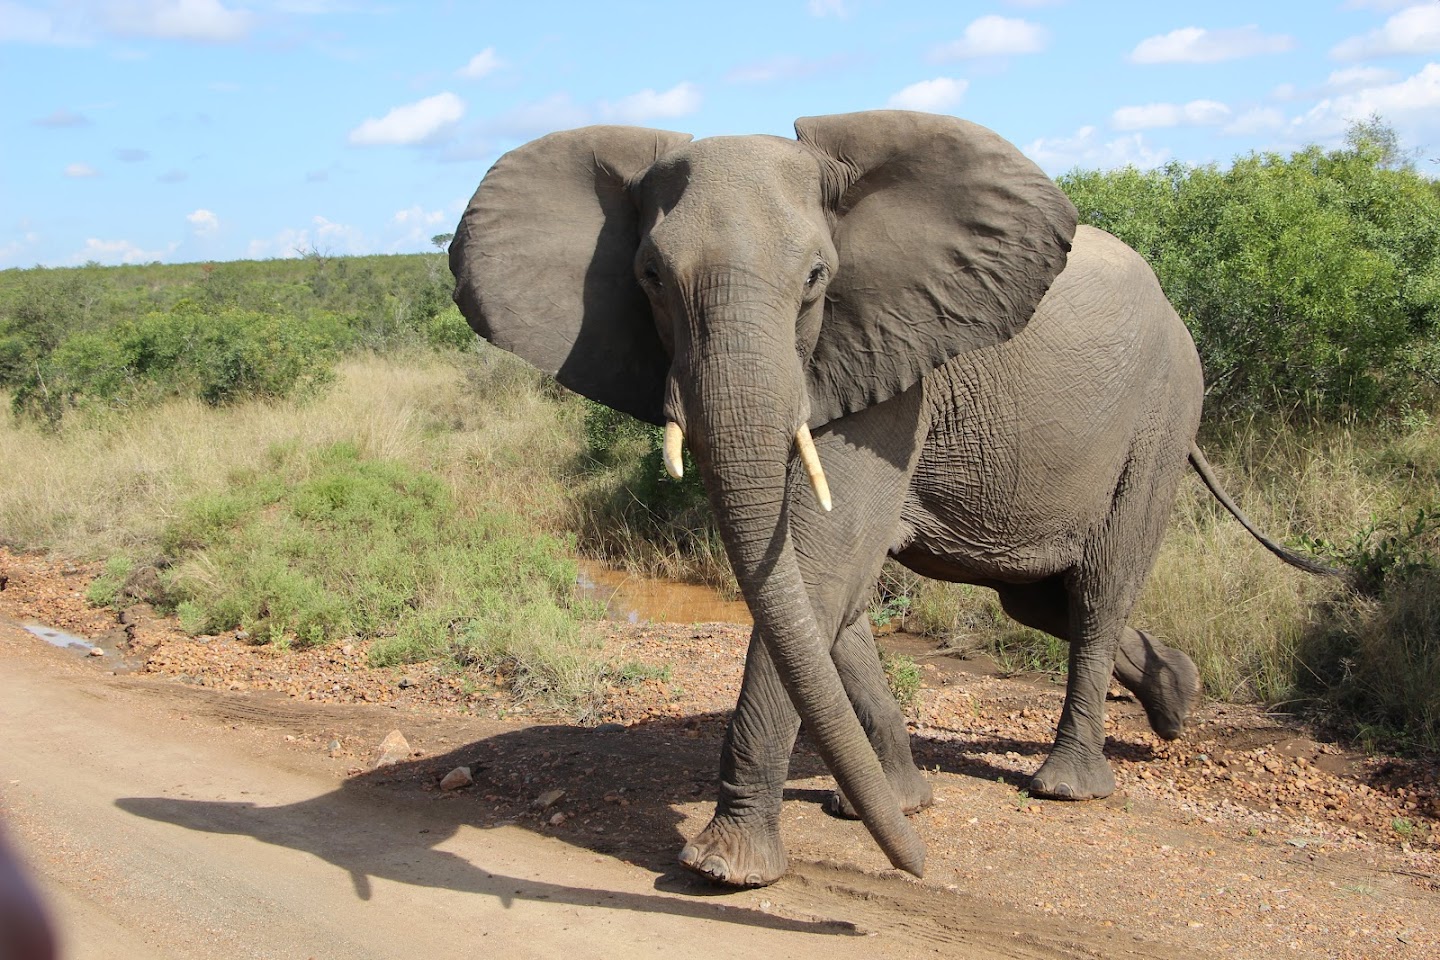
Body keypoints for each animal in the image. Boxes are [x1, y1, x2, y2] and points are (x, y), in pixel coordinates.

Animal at [452, 110, 1336, 886]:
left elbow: (818, 568)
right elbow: (821, 598)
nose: (919, 867)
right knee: (1036, 599)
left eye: (816, 280)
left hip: (1162, 411)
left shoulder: (891, 366)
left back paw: (1066, 786)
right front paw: (891, 805)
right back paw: (1178, 698)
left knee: (1099, 590)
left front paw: (725, 870)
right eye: (649, 280)